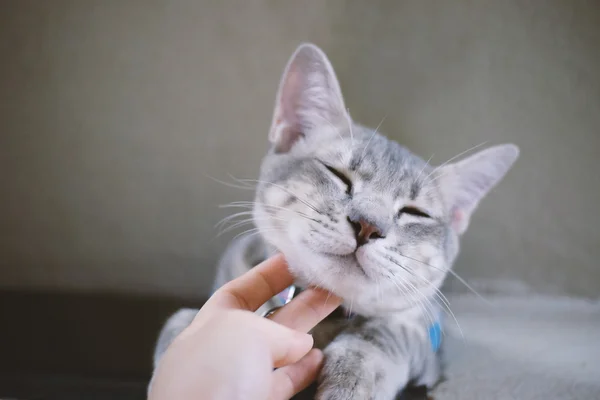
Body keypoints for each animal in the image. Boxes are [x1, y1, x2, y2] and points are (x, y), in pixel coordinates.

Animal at [152, 43, 516, 400]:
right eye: (338, 174)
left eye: (415, 212)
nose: (368, 225)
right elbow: (184, 321)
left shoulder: (423, 329)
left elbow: (381, 334)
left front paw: (352, 376)